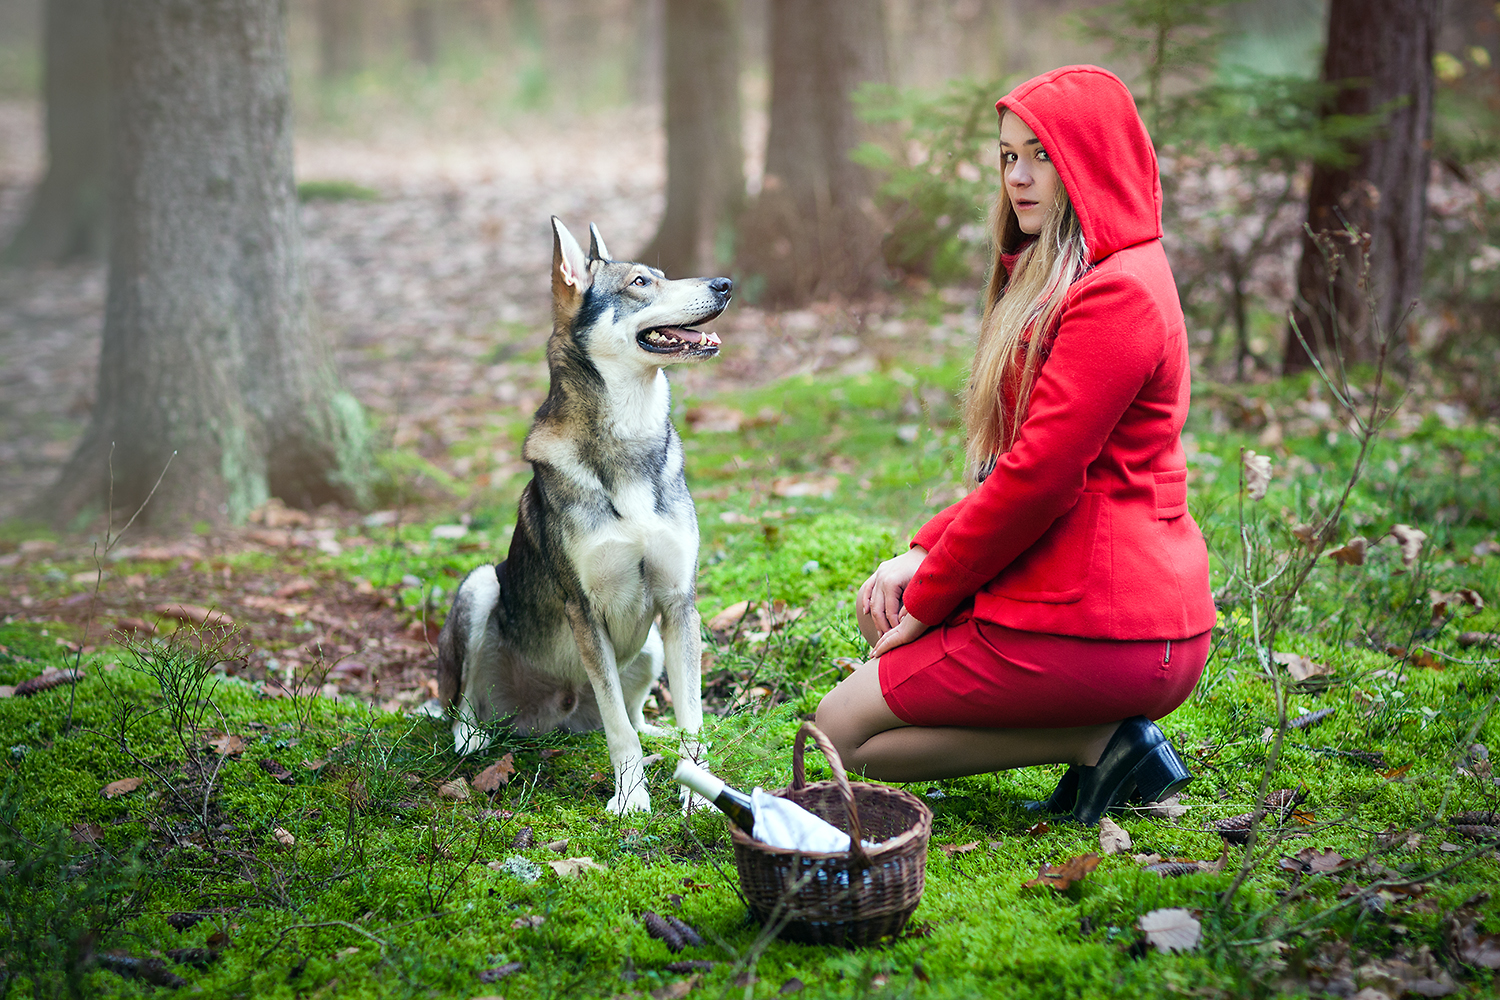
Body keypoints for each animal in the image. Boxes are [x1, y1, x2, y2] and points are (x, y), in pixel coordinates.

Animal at [435, 217, 732, 815]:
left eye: (662, 274)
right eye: (641, 282)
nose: (725, 284)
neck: (628, 442)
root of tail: (551, 719)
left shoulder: (679, 603)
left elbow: (689, 719)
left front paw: (699, 796)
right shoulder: (585, 611)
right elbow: (620, 731)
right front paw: (631, 799)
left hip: (651, 645)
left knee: (637, 714)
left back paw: (655, 733)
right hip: (480, 586)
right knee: (462, 702)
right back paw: (473, 737)